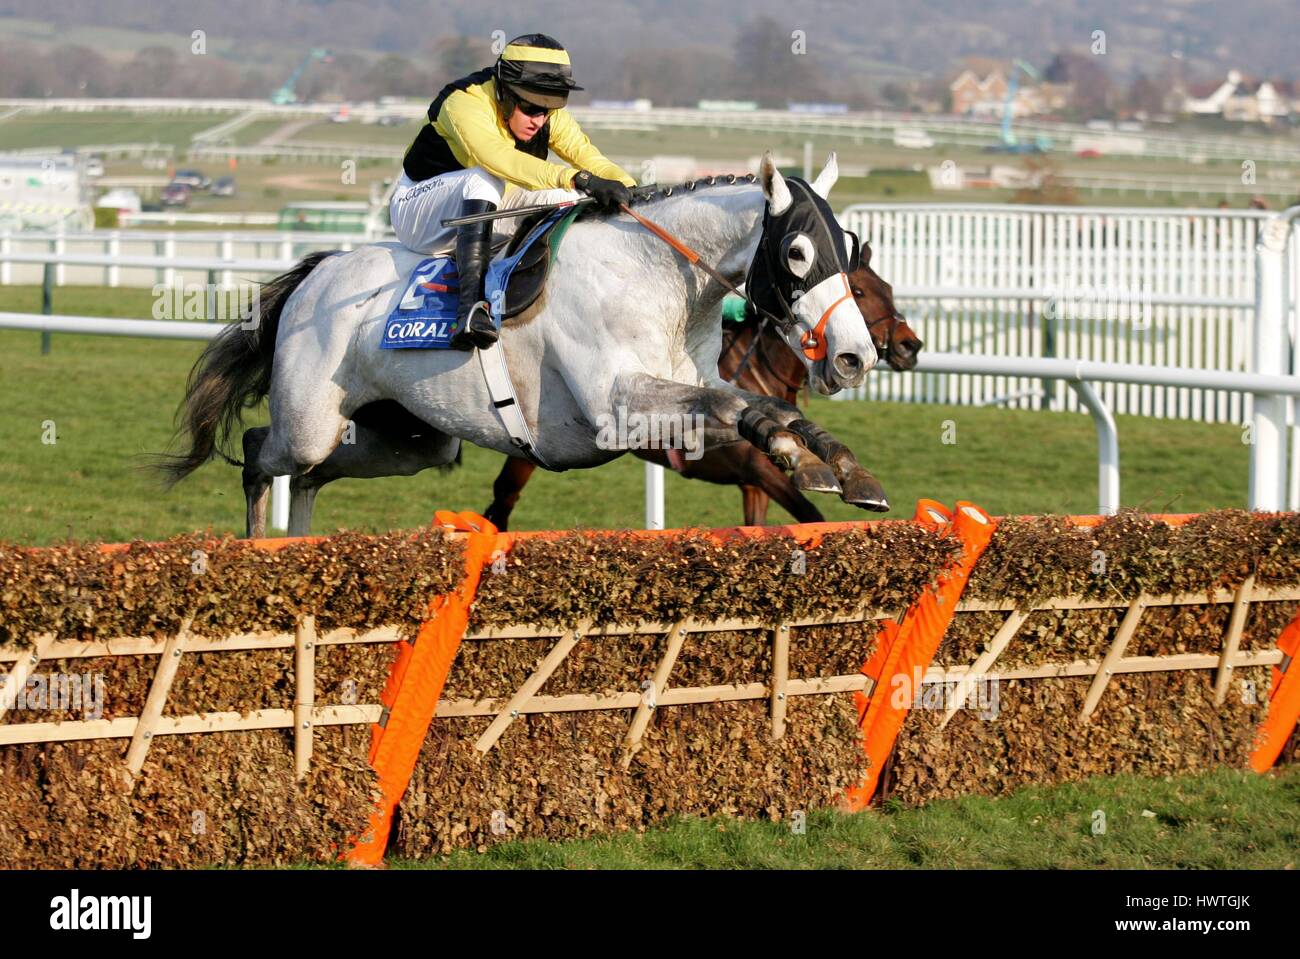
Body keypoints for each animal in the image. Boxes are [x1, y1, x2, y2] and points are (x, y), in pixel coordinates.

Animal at [483, 237, 920, 522]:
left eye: (888, 287)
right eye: (859, 290)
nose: (909, 345)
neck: (758, 372)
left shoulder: (753, 486)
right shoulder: (759, 472)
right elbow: (811, 514)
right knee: (501, 500)